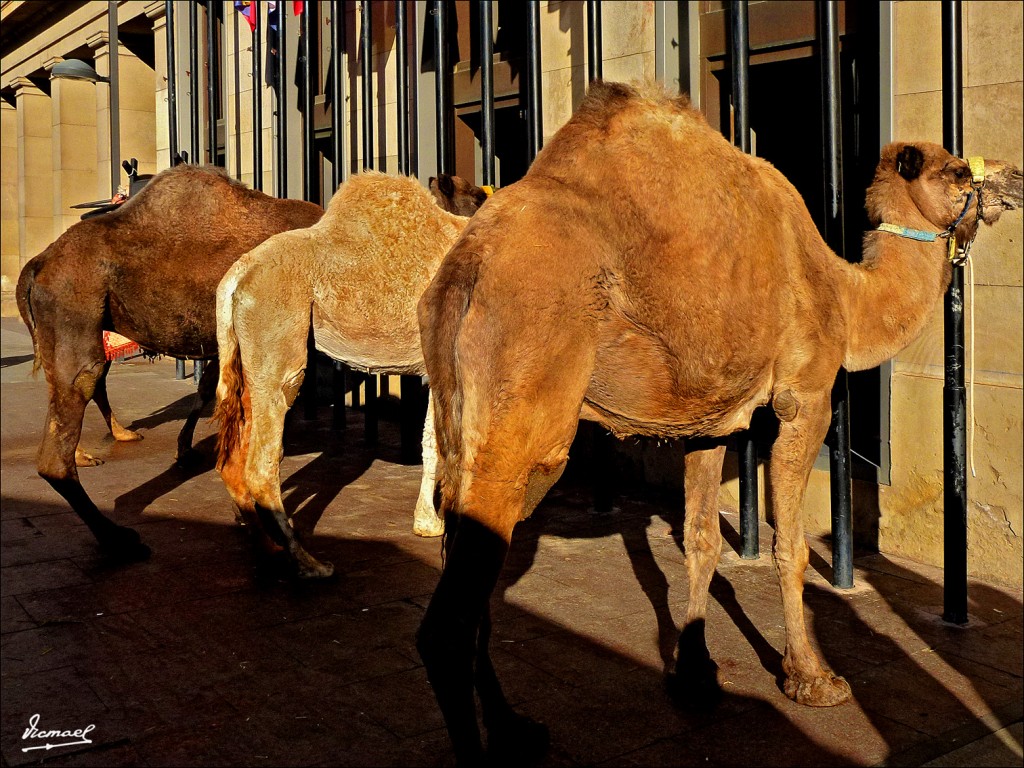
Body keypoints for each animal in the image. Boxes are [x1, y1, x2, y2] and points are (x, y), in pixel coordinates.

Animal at [214, 169, 485, 577]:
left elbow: (429, 441)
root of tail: (236, 276)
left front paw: (427, 523)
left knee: (235, 457)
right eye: (474, 195)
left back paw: (268, 549)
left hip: (245, 357)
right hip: (278, 335)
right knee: (263, 460)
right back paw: (308, 563)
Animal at [415, 81, 1024, 765]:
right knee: (449, 618)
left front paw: (696, 670)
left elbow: (702, 539)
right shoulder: (806, 398)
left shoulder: (707, 423)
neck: (844, 294)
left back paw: (517, 726)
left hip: (461, 410)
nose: (1015, 178)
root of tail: (462, 269)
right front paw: (812, 678)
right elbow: (790, 545)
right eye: (957, 170)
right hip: (528, 395)